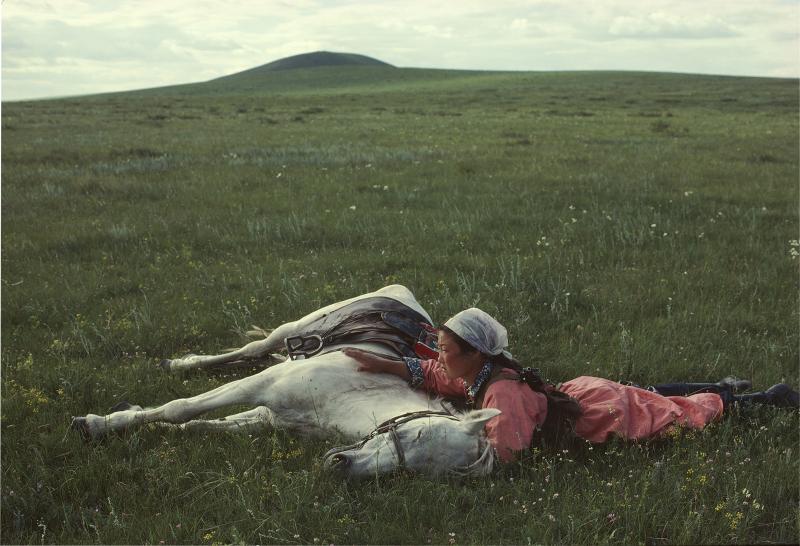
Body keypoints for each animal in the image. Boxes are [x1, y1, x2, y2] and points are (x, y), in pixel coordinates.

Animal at [75, 284, 500, 476]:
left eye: (417, 471)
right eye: (415, 434)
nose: (341, 464)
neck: (351, 393)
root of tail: (402, 295)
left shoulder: (269, 416)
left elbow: (202, 425)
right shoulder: (261, 385)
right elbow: (181, 408)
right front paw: (96, 423)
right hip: (292, 329)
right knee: (253, 349)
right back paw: (180, 364)